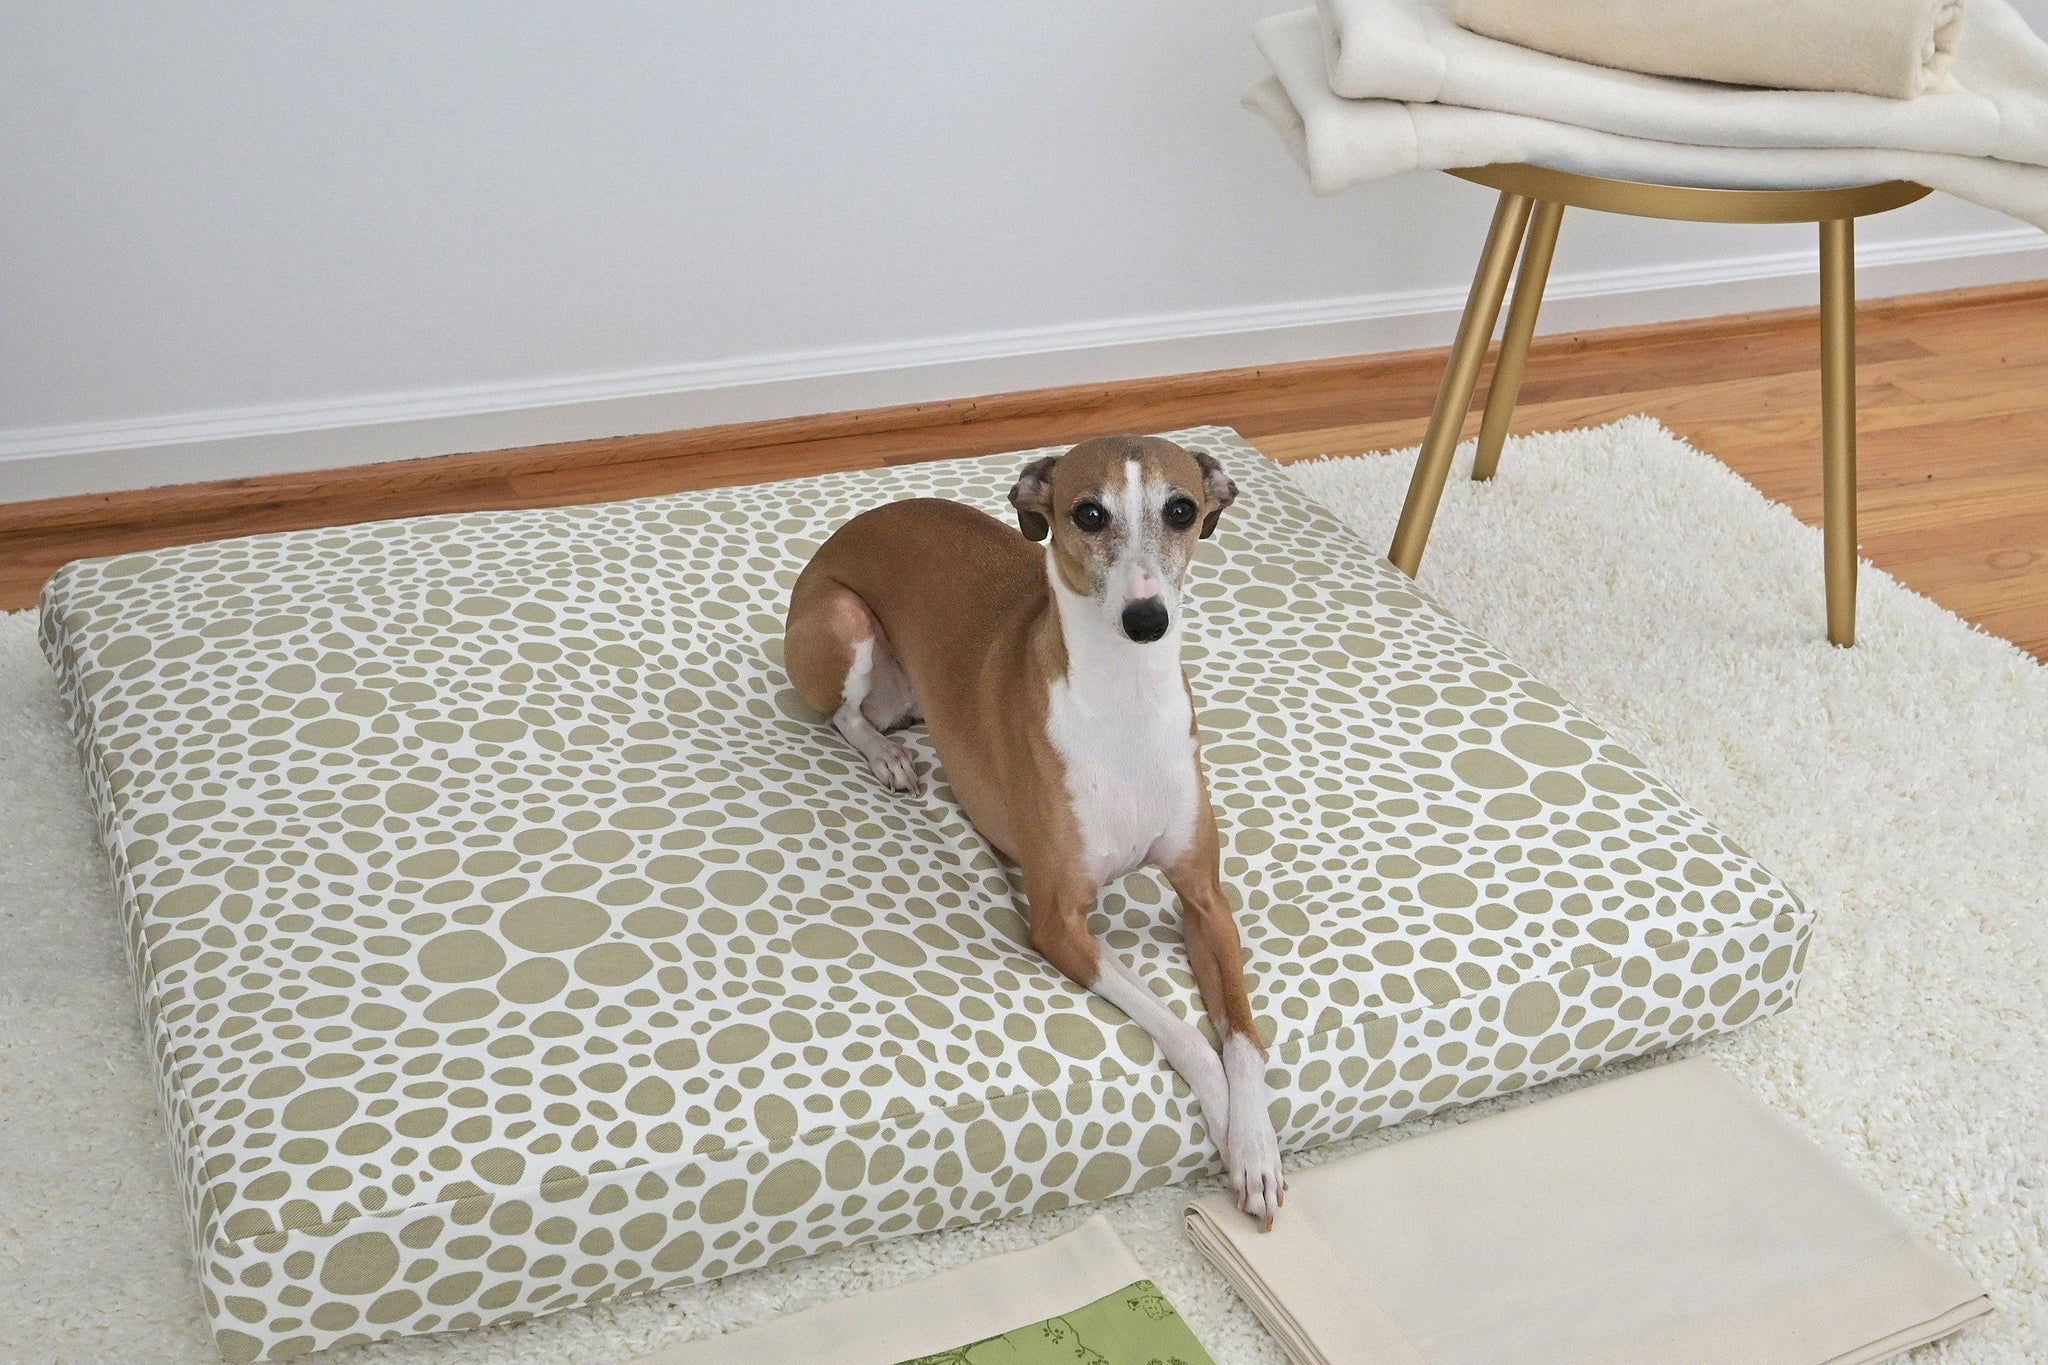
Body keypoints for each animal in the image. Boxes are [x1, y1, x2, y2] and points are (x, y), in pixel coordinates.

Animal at [778, 431, 1277, 1219]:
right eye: (1088, 513)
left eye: (1182, 509)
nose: (1147, 621)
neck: (1126, 704)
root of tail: (850, 527)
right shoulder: (1057, 921)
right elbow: (1184, 1033)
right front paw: (1228, 1128)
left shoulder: (1204, 899)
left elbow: (1243, 1039)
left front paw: (1256, 1147)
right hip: (842, 622)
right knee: (844, 716)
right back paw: (888, 757)